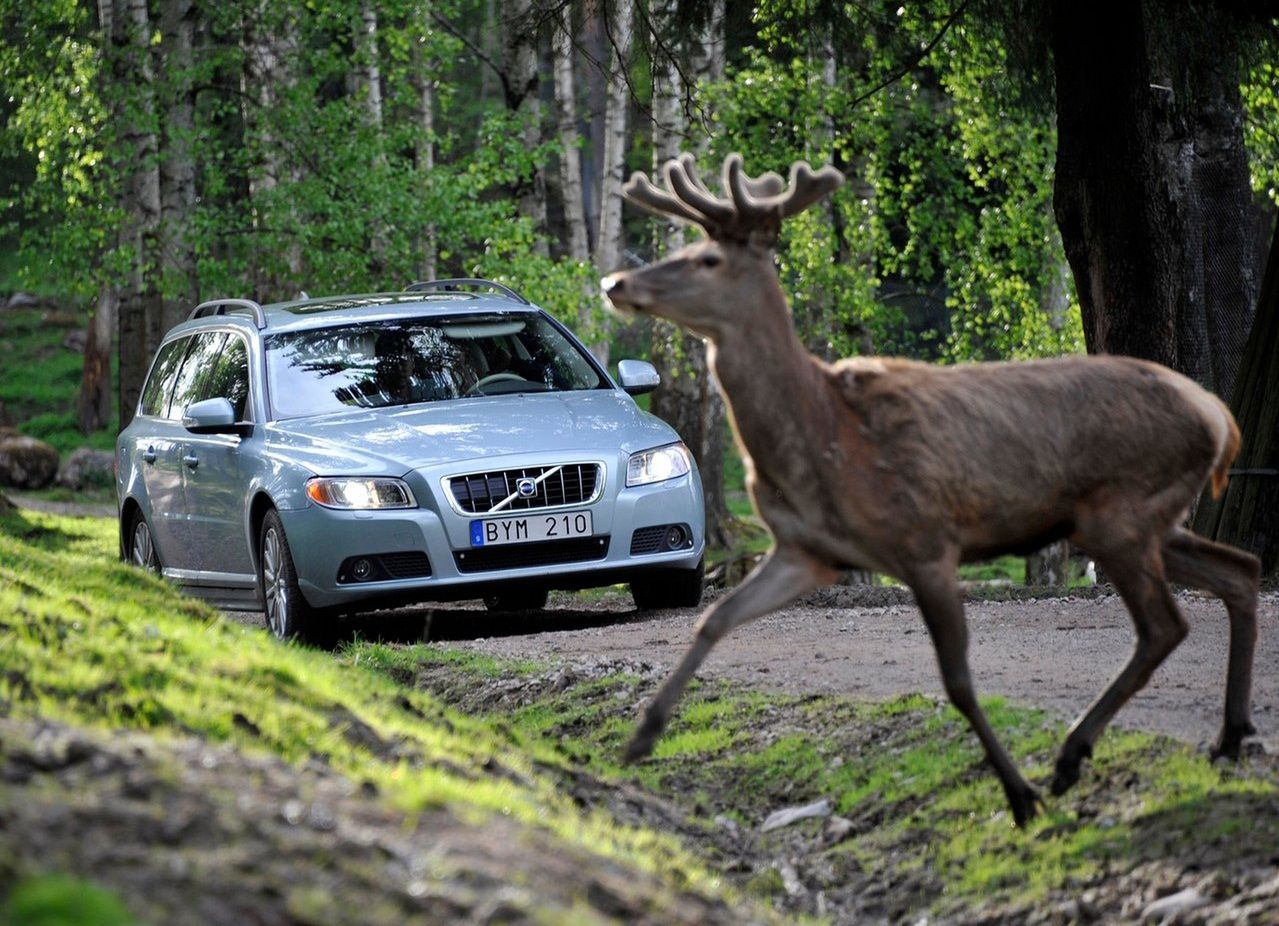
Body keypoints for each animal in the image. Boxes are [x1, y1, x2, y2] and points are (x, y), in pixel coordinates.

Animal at [598, 152, 1258, 823]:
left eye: (708, 259)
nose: (616, 284)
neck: (824, 436)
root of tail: (1218, 416)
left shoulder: (925, 540)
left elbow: (958, 680)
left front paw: (1018, 795)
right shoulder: (807, 550)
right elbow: (714, 619)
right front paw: (641, 737)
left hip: (1121, 512)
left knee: (1165, 625)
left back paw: (1073, 758)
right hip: (1141, 519)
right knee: (1241, 569)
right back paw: (1224, 737)